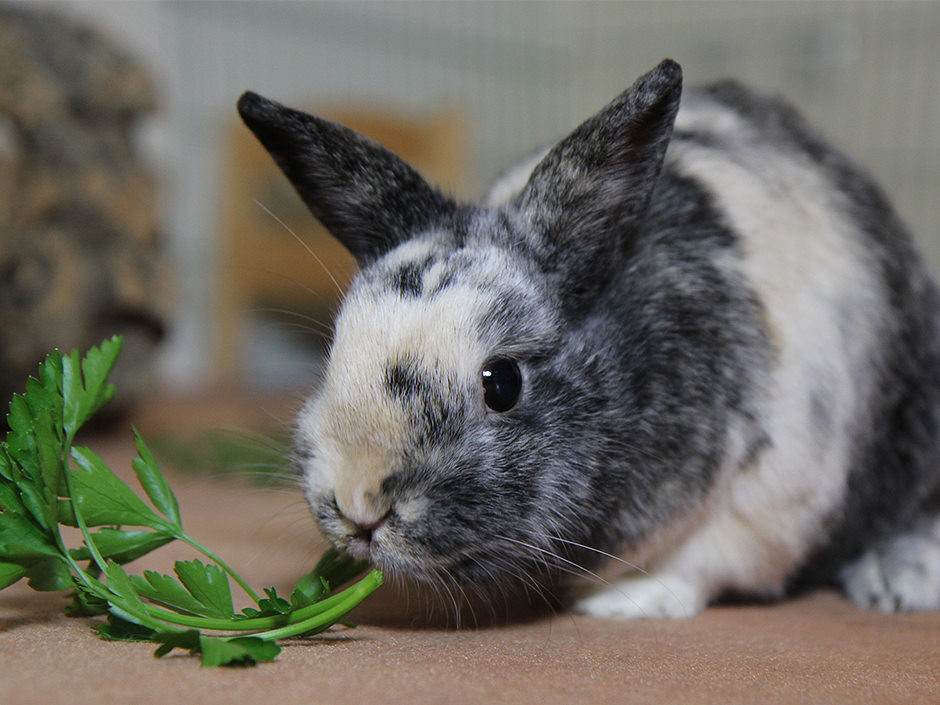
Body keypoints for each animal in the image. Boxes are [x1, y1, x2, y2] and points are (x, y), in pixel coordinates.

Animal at [237, 62, 940, 620]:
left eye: (502, 383)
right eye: (334, 350)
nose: (357, 504)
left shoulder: (772, 494)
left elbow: (707, 560)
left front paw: (630, 603)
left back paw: (893, 581)